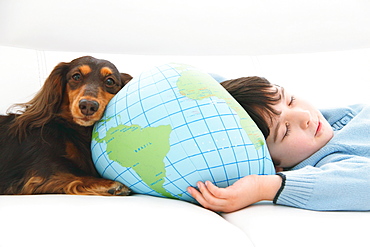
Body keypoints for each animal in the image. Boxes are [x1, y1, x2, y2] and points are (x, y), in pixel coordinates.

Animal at [0, 56, 133, 195]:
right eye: (76, 76)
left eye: (109, 81)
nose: (88, 106)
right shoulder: (40, 170)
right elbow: (76, 174)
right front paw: (111, 184)